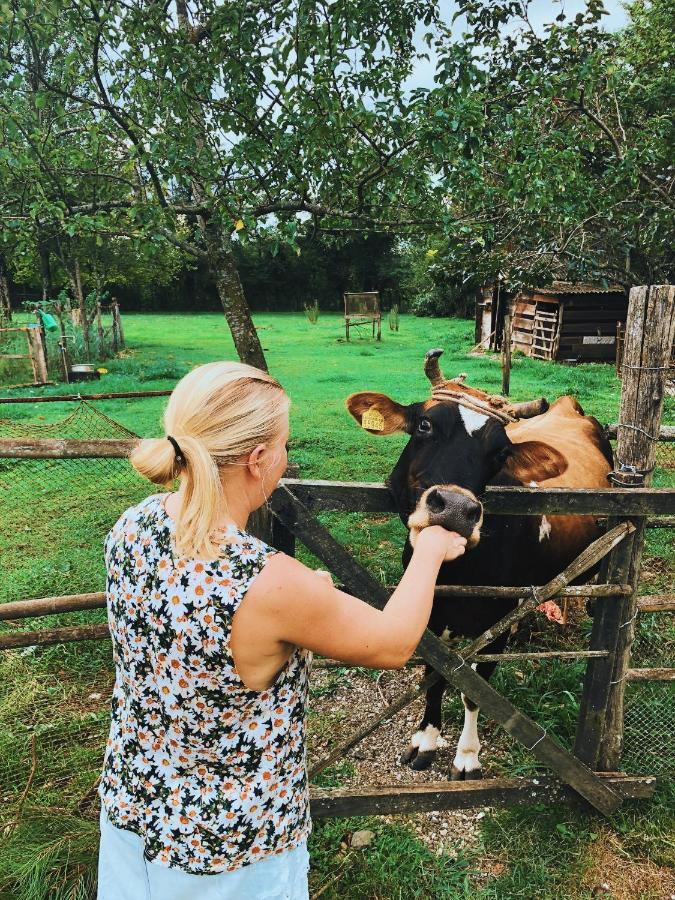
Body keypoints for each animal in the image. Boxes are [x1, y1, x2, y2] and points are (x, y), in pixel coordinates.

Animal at [346, 348, 616, 776]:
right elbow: (436, 675)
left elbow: (475, 691)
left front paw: (468, 755)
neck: (457, 573)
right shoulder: (431, 618)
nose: (456, 508)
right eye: (424, 425)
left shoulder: (494, 628)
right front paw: (426, 739)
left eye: (501, 452)